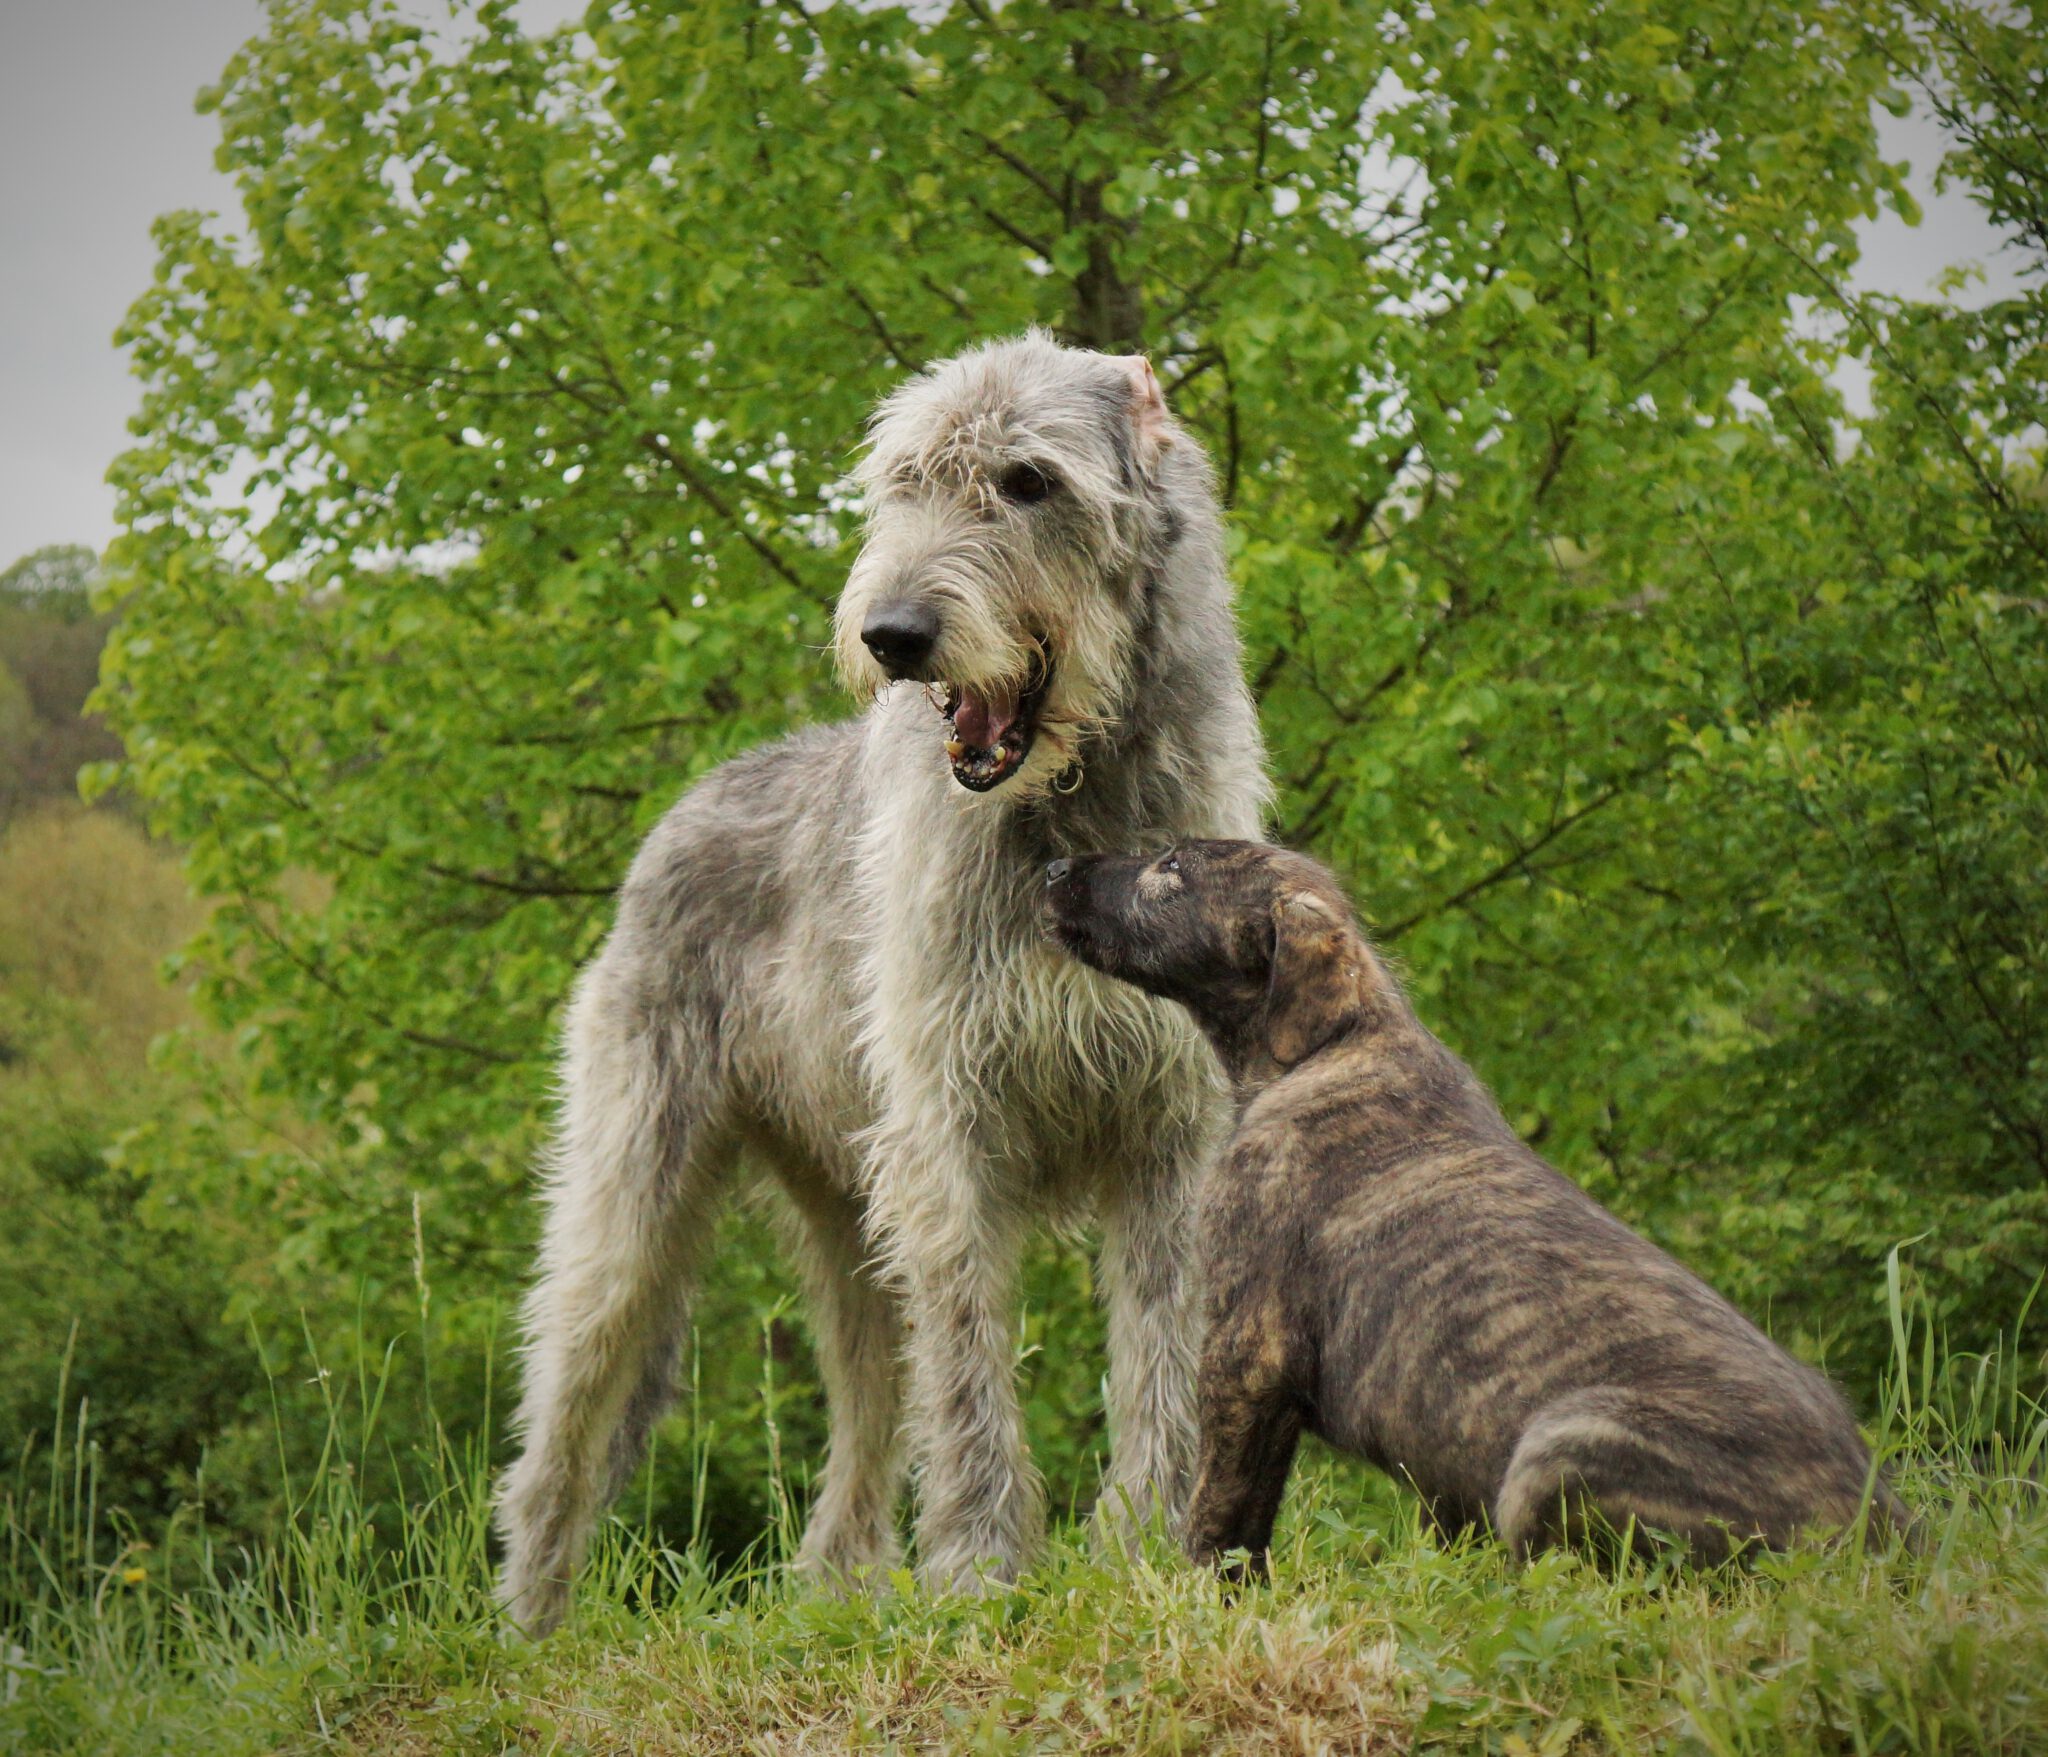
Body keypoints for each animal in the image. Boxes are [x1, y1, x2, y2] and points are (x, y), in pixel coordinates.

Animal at [495, 331, 1261, 1630]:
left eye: (1025, 481)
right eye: (904, 482)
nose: (891, 634)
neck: (1069, 808)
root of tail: (684, 806)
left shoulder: (1170, 1133)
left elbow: (1162, 1359)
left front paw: (1150, 1551)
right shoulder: (947, 1129)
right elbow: (966, 1370)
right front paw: (981, 1570)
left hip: (850, 1213)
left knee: (859, 1415)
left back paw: (841, 1589)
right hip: (633, 1187)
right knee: (567, 1408)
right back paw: (529, 1625)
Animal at [1048, 839, 1908, 1572]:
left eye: (1171, 867)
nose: (1054, 867)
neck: (1330, 1043)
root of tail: (1889, 1532)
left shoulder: (1248, 1349)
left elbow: (1223, 1507)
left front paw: (1199, 1593)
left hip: (1561, 1443)